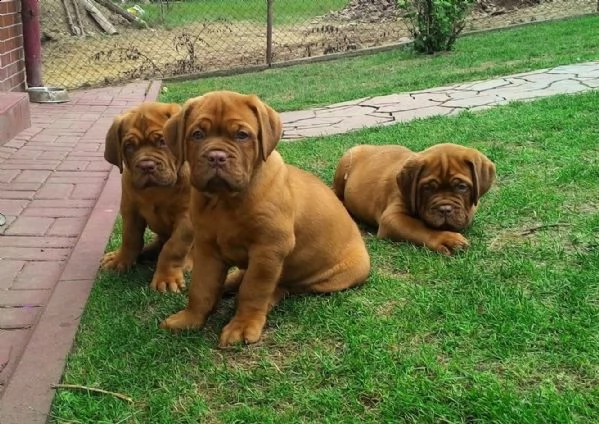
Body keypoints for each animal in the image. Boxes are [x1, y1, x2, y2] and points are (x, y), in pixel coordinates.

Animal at [102, 102, 193, 294]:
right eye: (129, 146)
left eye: (162, 141)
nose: (146, 166)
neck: (156, 191)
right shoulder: (130, 210)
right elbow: (130, 238)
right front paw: (120, 260)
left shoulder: (186, 217)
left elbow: (173, 247)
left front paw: (166, 278)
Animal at [159, 91, 370, 346]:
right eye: (197, 134)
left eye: (242, 135)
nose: (216, 156)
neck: (224, 201)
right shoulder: (207, 248)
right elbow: (201, 287)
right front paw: (190, 318)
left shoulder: (268, 249)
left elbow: (254, 289)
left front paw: (242, 325)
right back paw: (230, 282)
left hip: (333, 277)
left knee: (284, 286)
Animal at [332, 142, 496, 255]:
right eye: (427, 188)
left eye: (462, 187)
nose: (445, 209)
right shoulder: (392, 218)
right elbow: (419, 227)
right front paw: (447, 239)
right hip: (345, 163)